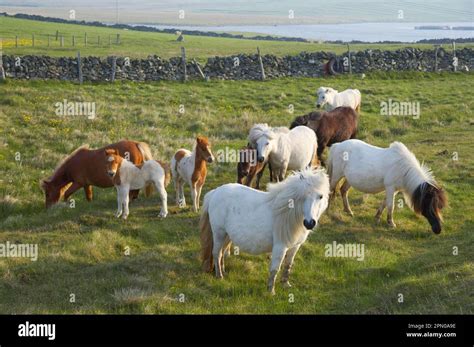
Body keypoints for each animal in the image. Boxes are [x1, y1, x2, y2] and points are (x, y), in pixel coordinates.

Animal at [200, 170, 330, 294]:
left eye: (320, 196)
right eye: (302, 197)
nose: (309, 223)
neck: (288, 214)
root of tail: (215, 192)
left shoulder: (295, 247)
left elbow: (288, 265)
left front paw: (285, 284)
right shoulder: (280, 246)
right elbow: (275, 269)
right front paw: (271, 291)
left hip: (227, 236)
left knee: (222, 252)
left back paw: (224, 272)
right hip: (219, 233)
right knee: (216, 253)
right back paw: (219, 276)